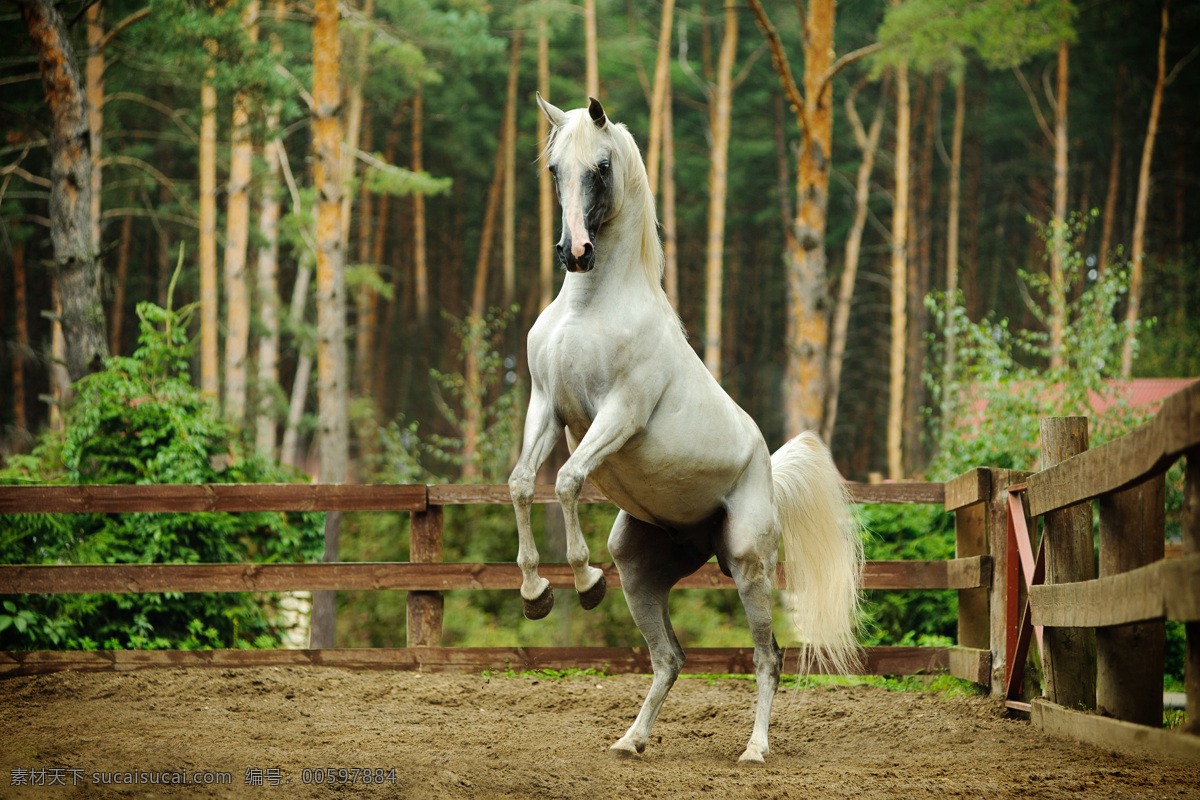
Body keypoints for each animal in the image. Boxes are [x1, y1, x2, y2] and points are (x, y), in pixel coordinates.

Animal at [506, 95, 864, 762]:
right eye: (553, 169)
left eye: (600, 167)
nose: (576, 252)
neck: (589, 308)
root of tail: (767, 468)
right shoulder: (546, 406)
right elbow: (520, 485)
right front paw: (535, 595)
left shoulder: (618, 414)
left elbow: (566, 481)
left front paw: (583, 582)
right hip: (640, 566)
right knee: (669, 658)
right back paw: (631, 740)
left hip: (748, 563)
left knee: (768, 657)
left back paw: (754, 749)